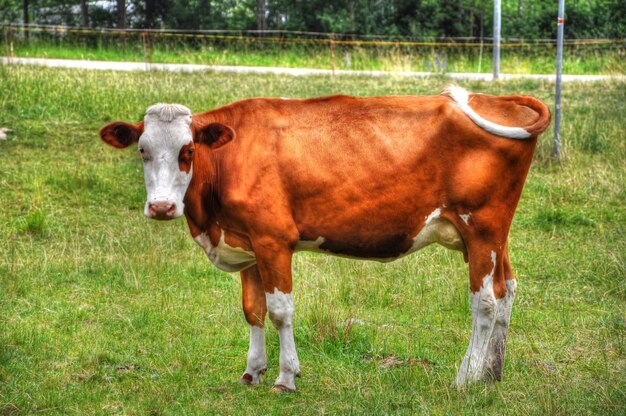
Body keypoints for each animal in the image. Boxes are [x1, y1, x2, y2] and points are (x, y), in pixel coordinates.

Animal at [97, 86, 544, 392]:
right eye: (142, 149)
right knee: (506, 290)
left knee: (484, 302)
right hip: (493, 236)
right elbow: (252, 310)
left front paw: (286, 377)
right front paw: (252, 371)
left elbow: (280, 311)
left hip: (481, 228)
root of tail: (496, 98)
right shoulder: (248, 242)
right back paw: (492, 373)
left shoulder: (273, 240)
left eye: (188, 150)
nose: (161, 207)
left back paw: (465, 378)